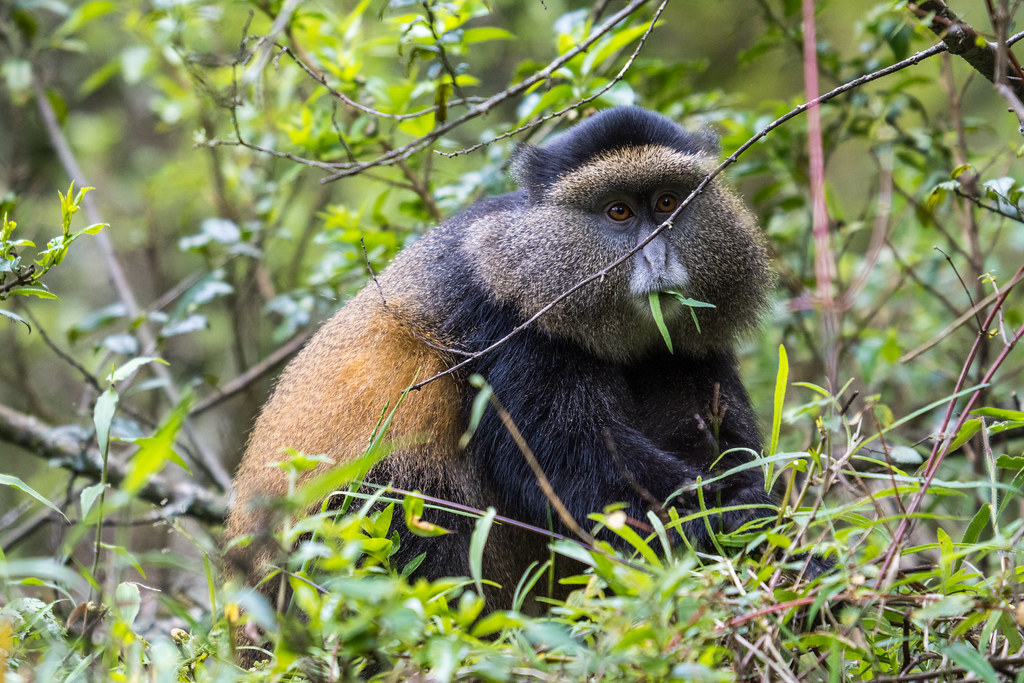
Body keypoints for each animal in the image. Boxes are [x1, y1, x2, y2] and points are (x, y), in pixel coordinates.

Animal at [225, 106, 778, 664]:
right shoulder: (506, 325)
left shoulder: (683, 347)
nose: (656, 257)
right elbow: (580, 464)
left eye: (668, 202)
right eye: (618, 212)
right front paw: (739, 520)